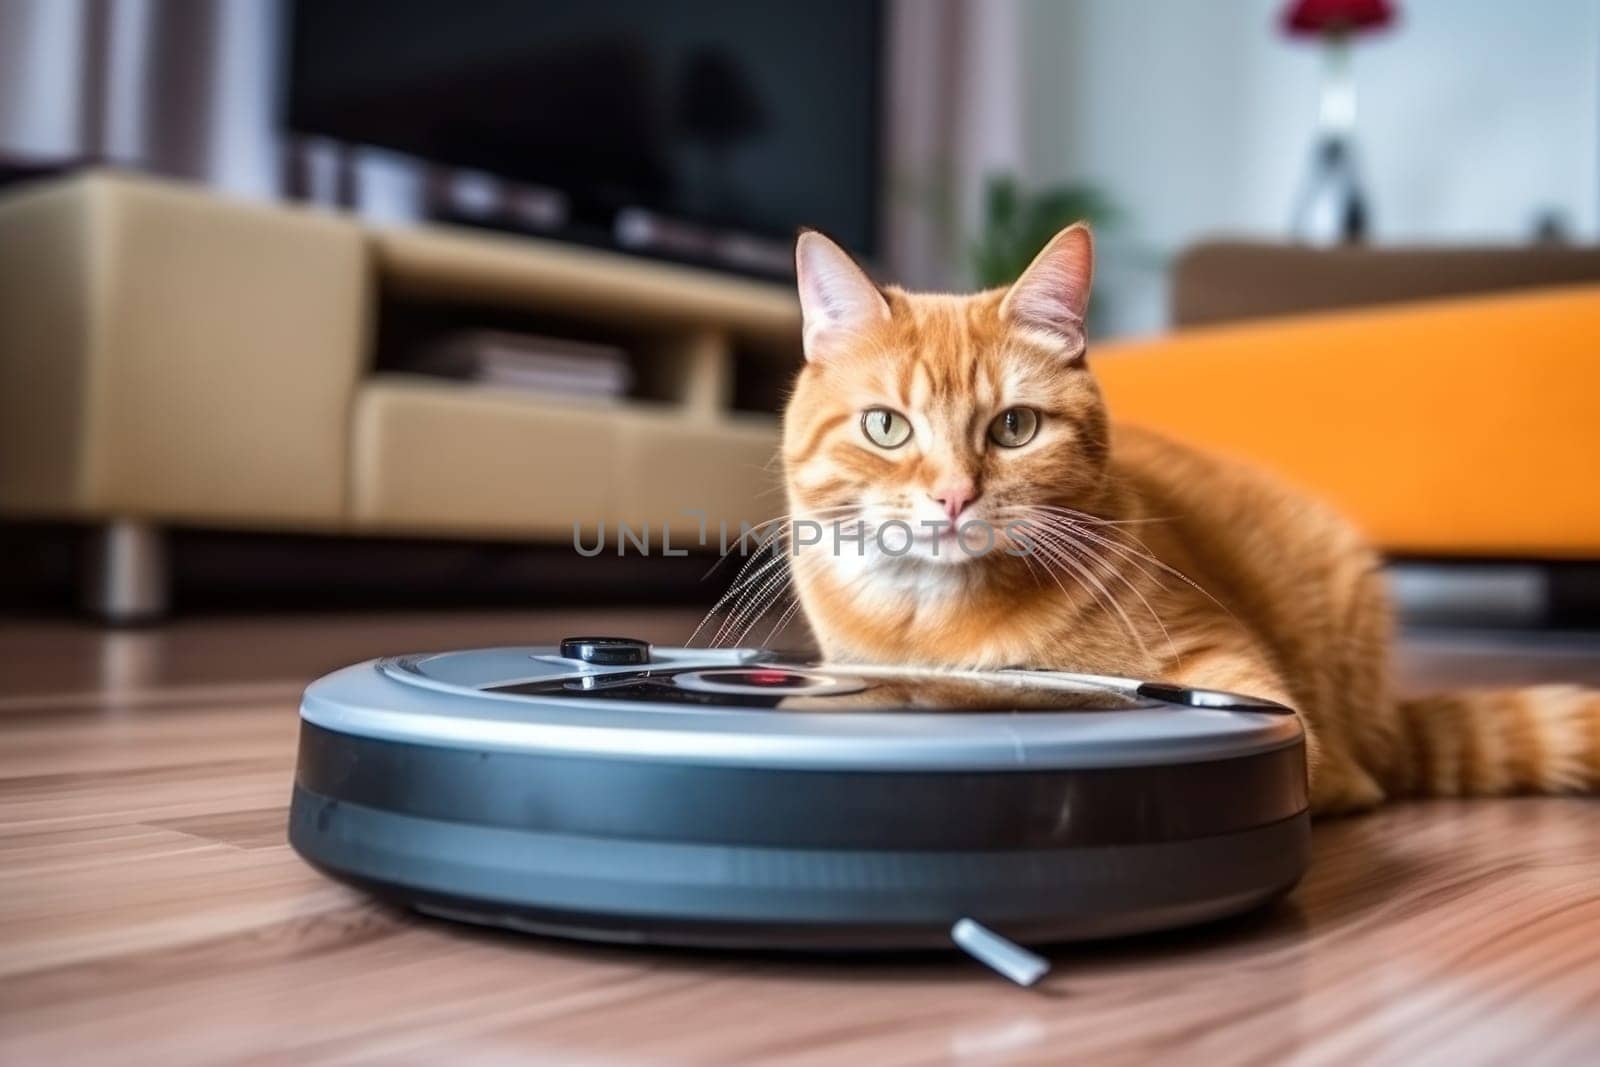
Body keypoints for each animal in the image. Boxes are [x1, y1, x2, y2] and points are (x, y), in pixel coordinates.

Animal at [771, 220, 1587, 812]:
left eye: (1014, 427)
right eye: (886, 427)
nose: (953, 496)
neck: (934, 620)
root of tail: (1383, 720)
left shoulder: (1230, 668)